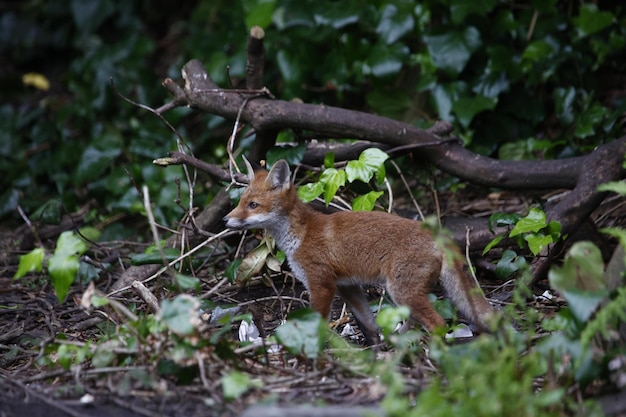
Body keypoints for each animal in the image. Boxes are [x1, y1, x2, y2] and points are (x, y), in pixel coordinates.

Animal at [222, 158, 494, 342]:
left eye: (253, 205)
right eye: (240, 202)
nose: (224, 219)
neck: (300, 234)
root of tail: (438, 234)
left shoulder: (321, 284)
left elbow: (318, 324)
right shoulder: (347, 286)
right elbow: (370, 326)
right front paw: (375, 350)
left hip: (402, 292)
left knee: (437, 324)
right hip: (405, 295)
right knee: (415, 323)